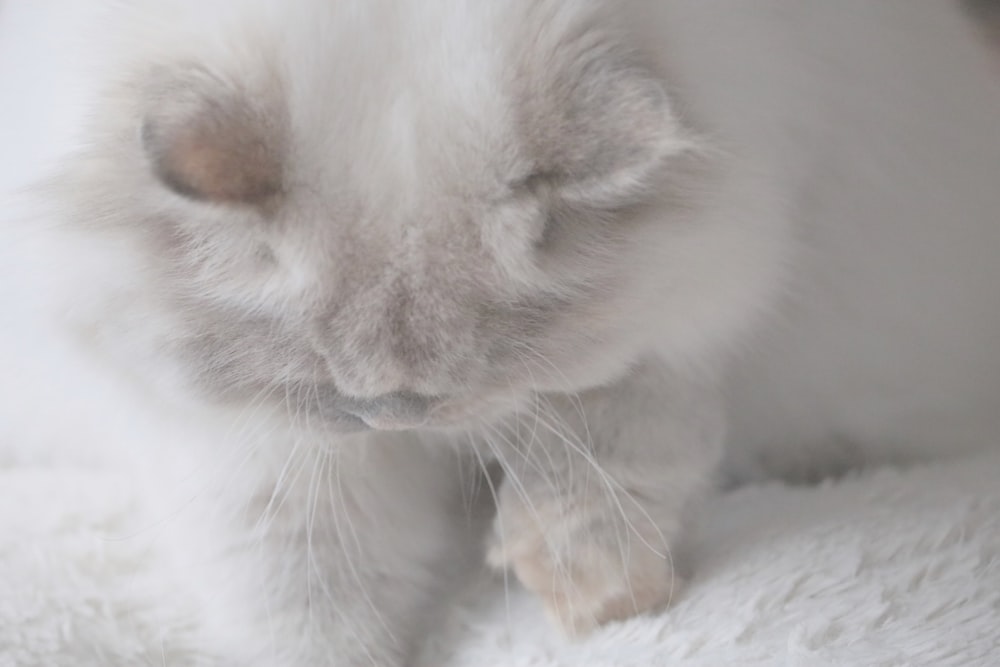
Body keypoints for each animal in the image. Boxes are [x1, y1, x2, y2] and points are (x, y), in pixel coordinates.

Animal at [5, 0, 1000, 664]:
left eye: (466, 376)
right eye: (331, 380)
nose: (399, 417)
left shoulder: (671, 329)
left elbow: (613, 455)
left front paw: (595, 591)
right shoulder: (249, 451)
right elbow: (307, 607)